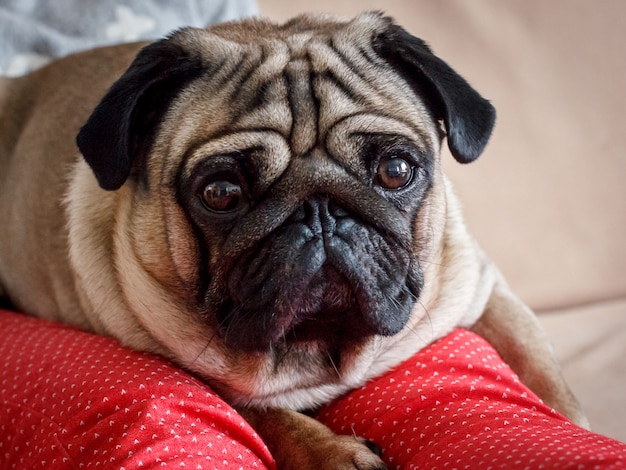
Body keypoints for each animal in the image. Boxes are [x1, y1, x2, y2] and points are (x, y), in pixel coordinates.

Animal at [0, 11, 584, 470]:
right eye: (221, 193)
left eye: (395, 170)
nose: (319, 210)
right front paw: (333, 452)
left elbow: (542, 371)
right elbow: (265, 413)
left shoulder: (481, 290)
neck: (319, 348)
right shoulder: (191, 368)